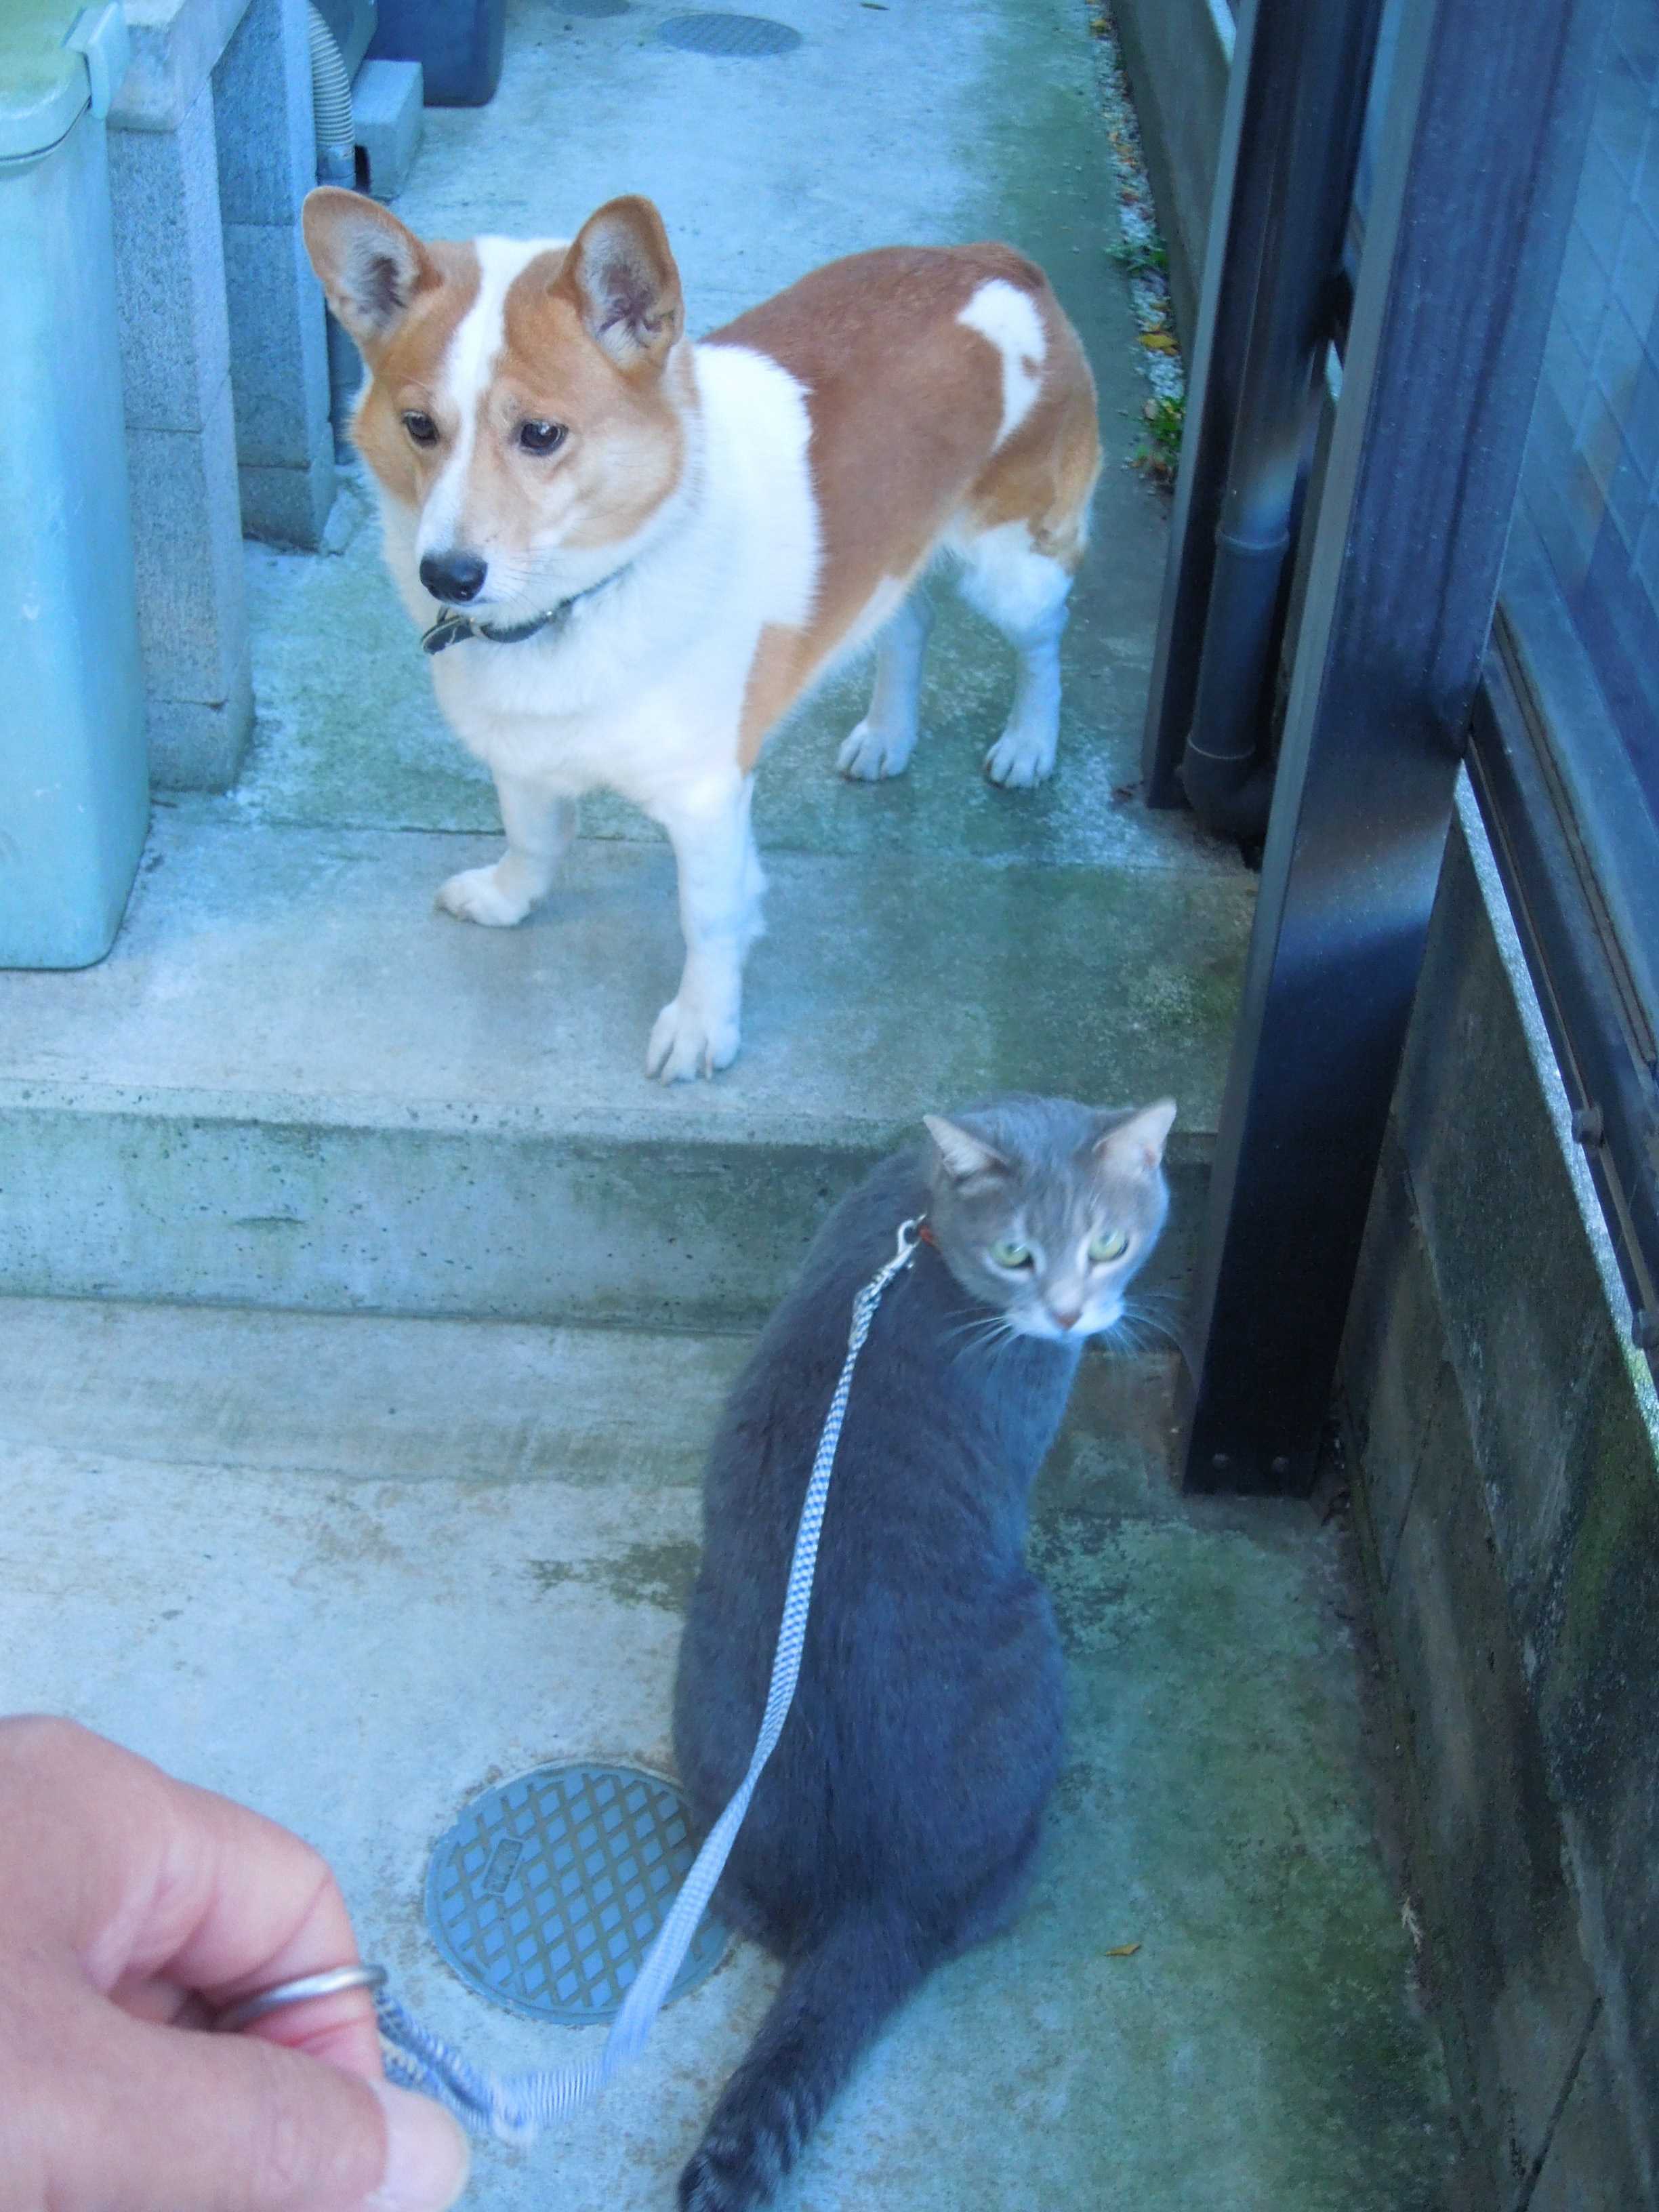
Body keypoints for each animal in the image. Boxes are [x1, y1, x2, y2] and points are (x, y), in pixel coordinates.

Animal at [302, 191, 1100, 1080]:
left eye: (541, 434)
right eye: (418, 426)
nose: (447, 575)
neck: (578, 603)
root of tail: (993, 262)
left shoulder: (708, 797)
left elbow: (709, 918)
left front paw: (702, 1026)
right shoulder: (522, 751)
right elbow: (533, 839)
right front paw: (508, 900)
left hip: (1014, 573)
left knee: (1044, 641)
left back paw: (1029, 743)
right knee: (908, 618)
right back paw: (887, 735)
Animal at [671, 1090, 1177, 2209]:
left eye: (1109, 1244)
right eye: (1020, 1254)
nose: (1071, 1316)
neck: (926, 1238)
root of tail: (871, 1902)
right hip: (1030, 1650)